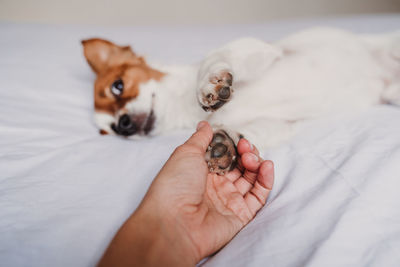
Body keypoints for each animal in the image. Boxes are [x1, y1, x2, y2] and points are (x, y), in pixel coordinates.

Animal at [82, 28, 400, 175]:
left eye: (118, 86)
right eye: (106, 132)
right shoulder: (279, 124)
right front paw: (226, 144)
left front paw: (210, 83)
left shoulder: (262, 50)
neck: (183, 109)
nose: (121, 125)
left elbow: (214, 59)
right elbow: (248, 133)